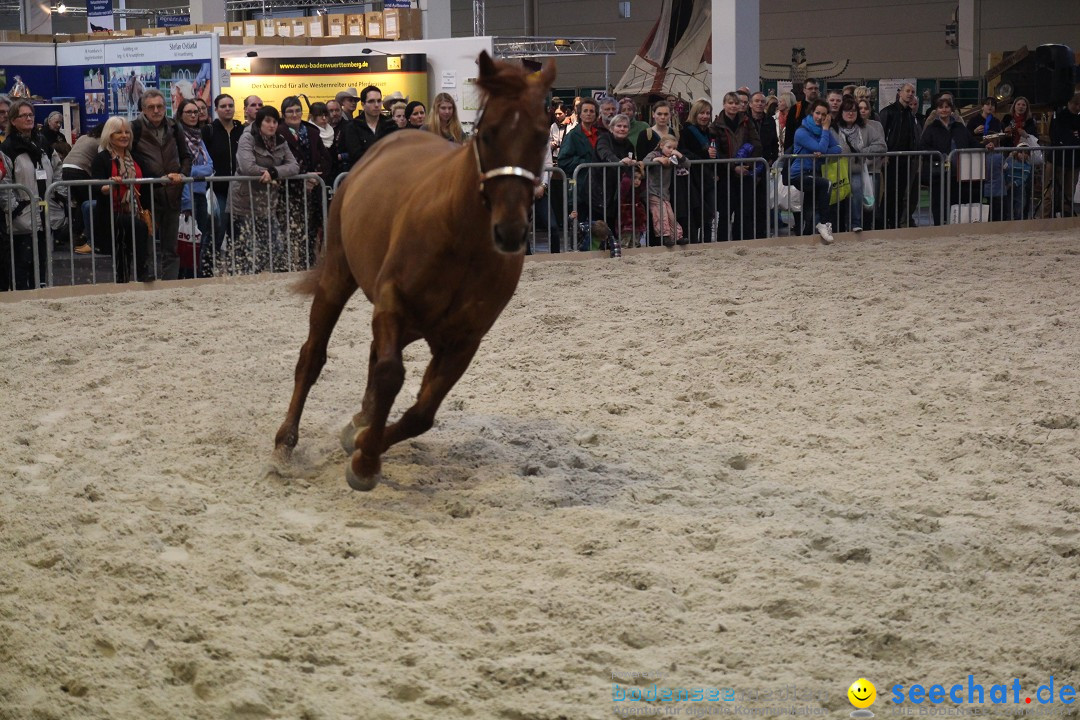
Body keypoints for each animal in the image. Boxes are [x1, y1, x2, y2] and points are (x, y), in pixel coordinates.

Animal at [272, 50, 557, 490]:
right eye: (487, 133)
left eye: (542, 136)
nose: (510, 231)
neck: (462, 239)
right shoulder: (393, 302)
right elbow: (391, 375)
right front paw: (365, 463)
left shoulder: (464, 341)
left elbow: (421, 413)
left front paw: (364, 443)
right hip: (339, 276)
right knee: (313, 356)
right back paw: (285, 443)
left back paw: (359, 422)